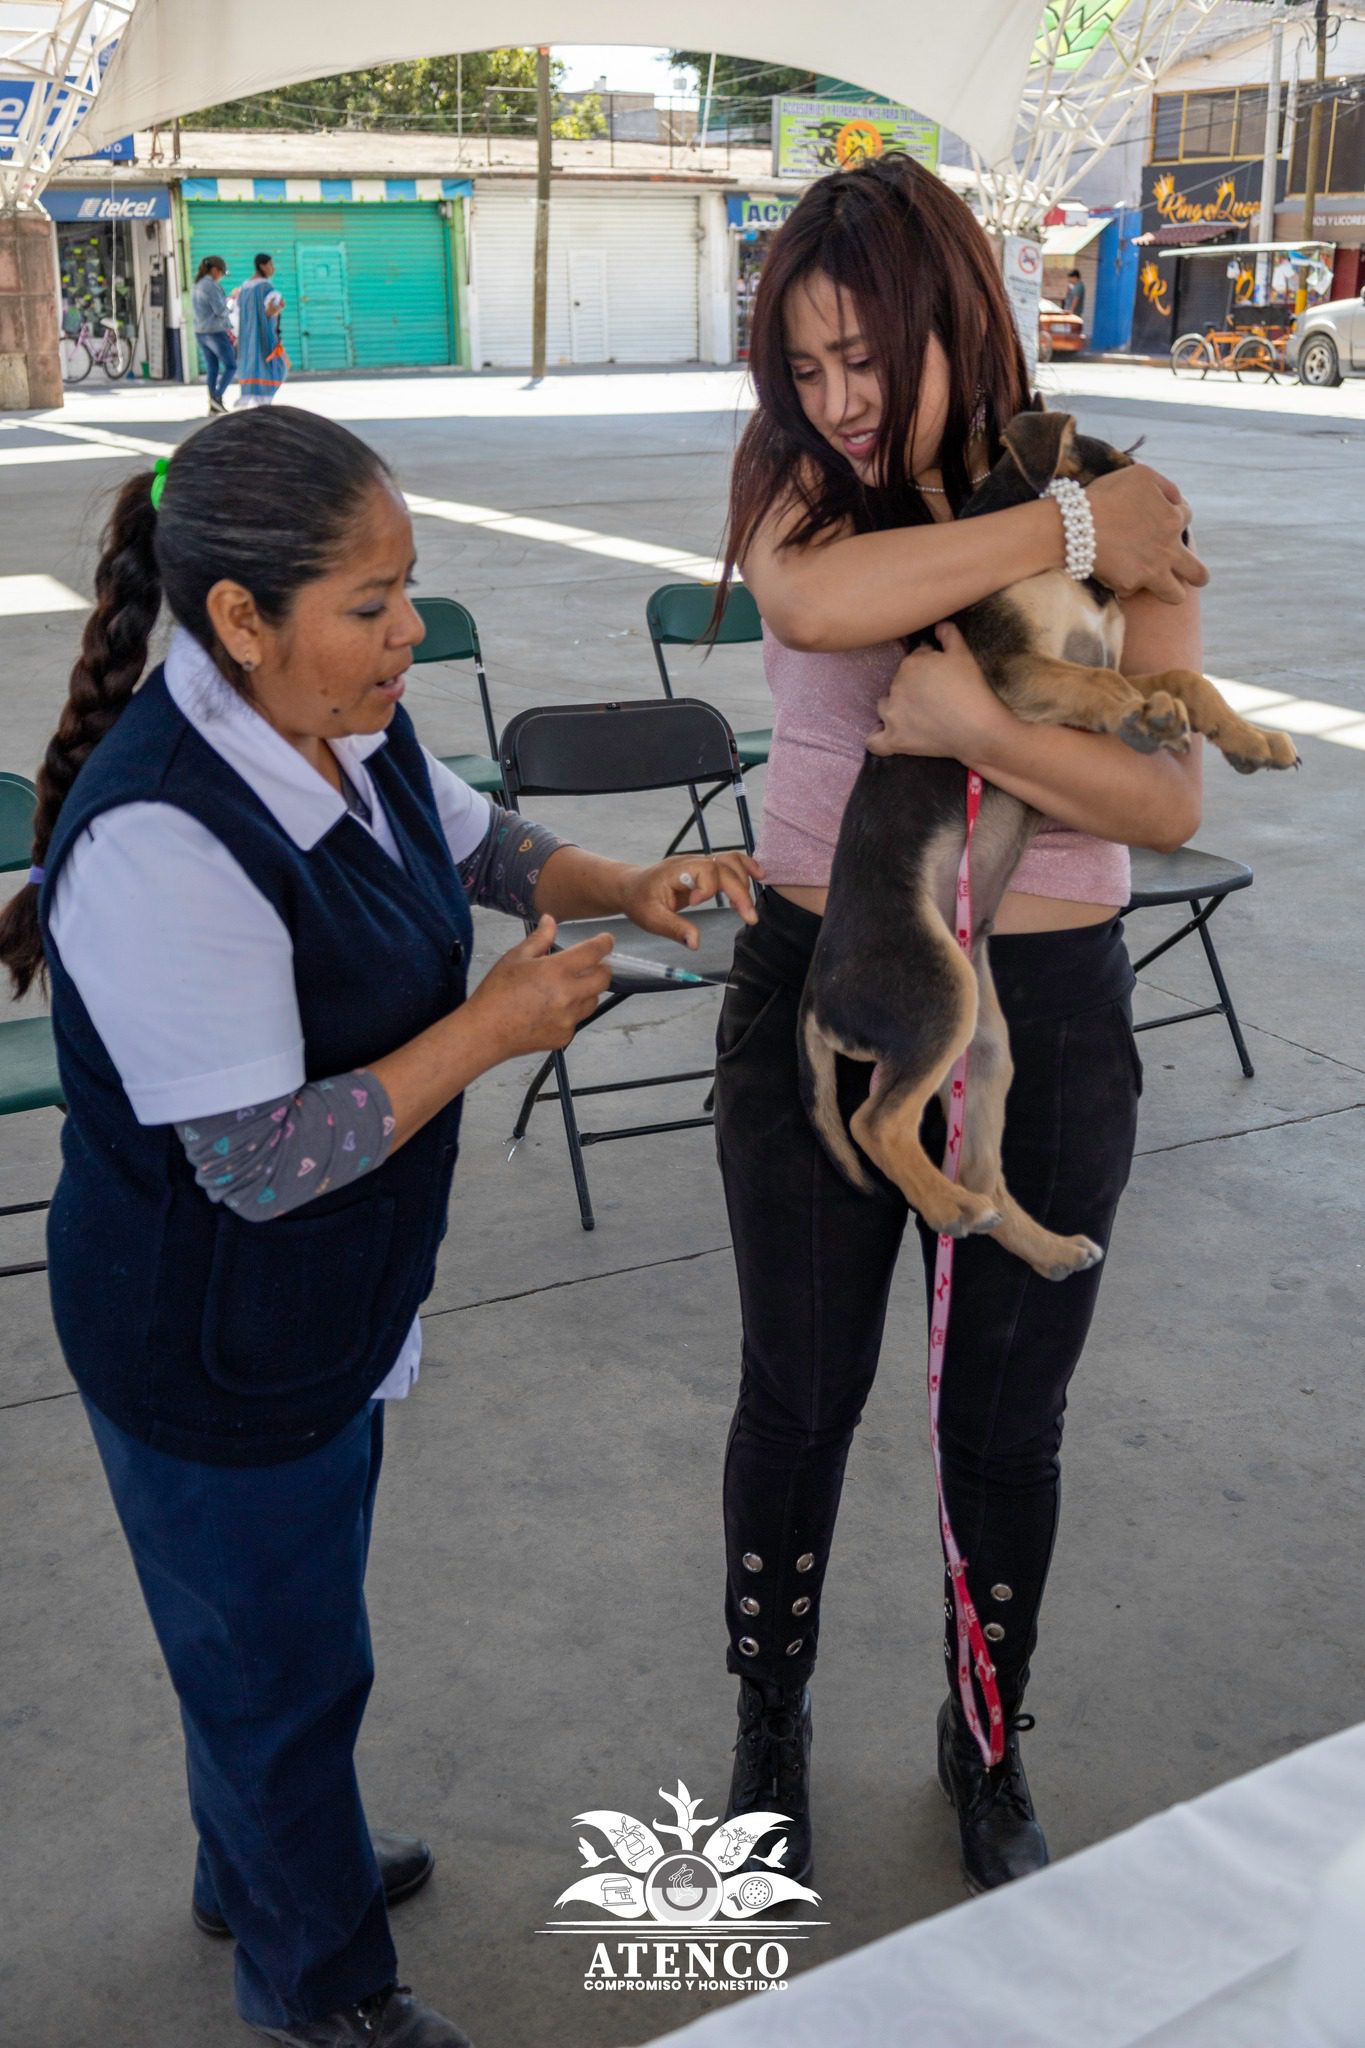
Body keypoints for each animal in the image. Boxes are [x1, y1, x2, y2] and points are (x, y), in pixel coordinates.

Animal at [802, 405, 1301, 1277]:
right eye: (1173, 531)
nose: (1198, 580)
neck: (1074, 577)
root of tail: (815, 995)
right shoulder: (1016, 670)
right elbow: (1109, 684)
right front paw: (1146, 716)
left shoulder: (1091, 667)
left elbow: (1180, 679)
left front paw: (1249, 740)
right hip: (938, 991)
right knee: (875, 1124)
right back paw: (949, 1206)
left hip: (984, 1045)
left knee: (985, 1170)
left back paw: (1041, 1244)